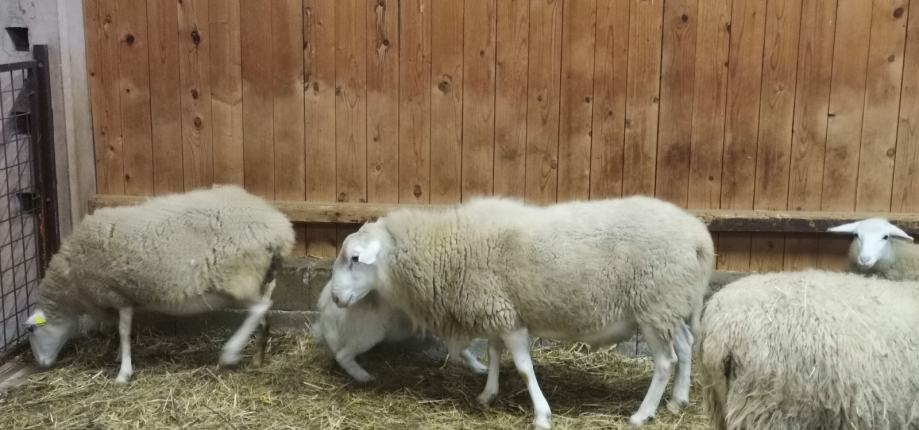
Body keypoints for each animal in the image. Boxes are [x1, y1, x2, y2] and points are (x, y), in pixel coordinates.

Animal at [23, 184, 295, 383]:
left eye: (32, 331)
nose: (41, 364)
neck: (71, 279)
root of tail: (280, 228)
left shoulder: (116, 293)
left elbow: (123, 331)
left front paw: (123, 371)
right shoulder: (122, 295)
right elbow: (120, 330)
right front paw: (119, 357)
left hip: (239, 276)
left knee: (258, 309)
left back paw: (230, 353)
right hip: (263, 277)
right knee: (264, 312)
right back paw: (257, 359)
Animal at [311, 280, 489, 382]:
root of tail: (326, 306)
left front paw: (479, 367)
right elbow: (463, 350)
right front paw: (479, 367)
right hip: (370, 334)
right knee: (343, 356)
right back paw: (364, 377)